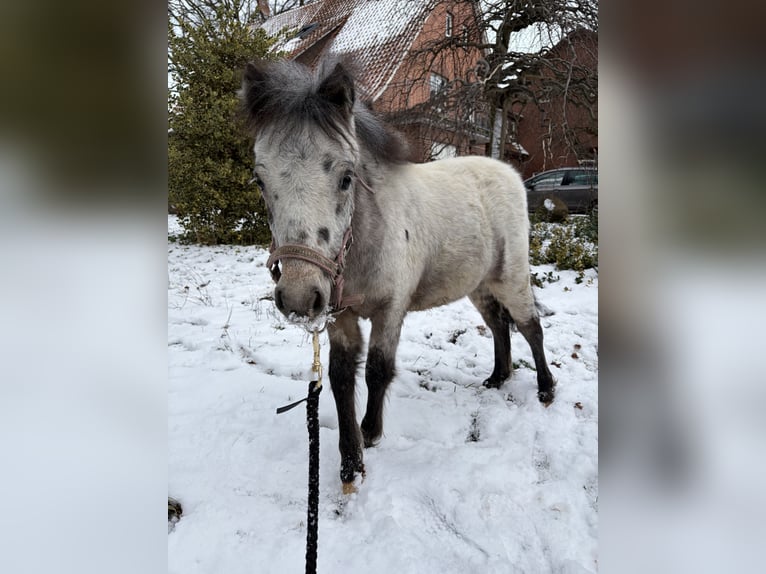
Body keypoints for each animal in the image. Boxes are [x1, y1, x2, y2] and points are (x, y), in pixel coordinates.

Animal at [240, 58, 555, 492]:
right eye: (260, 180)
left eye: (346, 177)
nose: (299, 298)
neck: (366, 237)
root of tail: (508, 171)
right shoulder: (339, 316)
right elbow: (341, 377)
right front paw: (349, 462)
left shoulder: (390, 310)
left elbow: (377, 370)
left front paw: (370, 433)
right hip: (478, 285)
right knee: (498, 325)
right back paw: (498, 377)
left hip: (511, 278)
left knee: (530, 326)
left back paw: (545, 389)